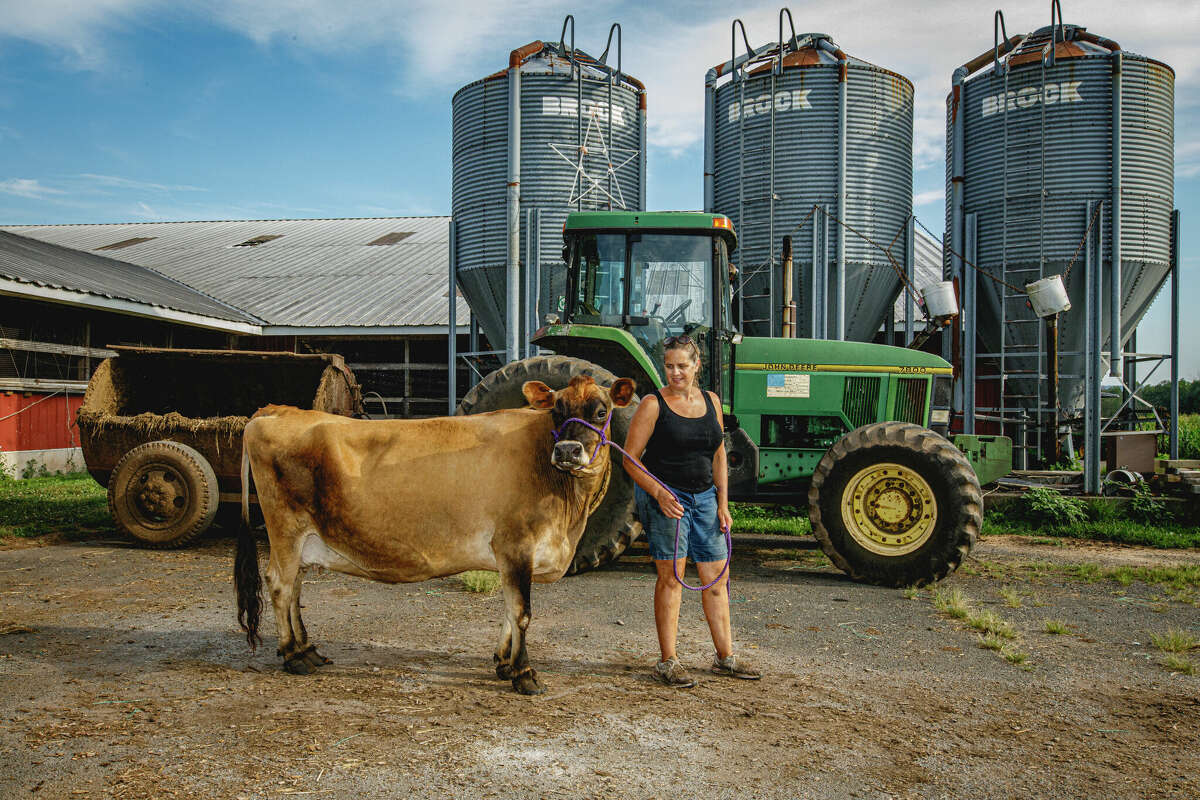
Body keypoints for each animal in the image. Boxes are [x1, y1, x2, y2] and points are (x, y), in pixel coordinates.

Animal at [232, 376, 638, 695]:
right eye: (556, 409)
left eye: (601, 411)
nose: (568, 450)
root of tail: (278, 411)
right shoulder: (516, 545)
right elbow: (521, 612)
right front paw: (524, 674)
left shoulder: (511, 557)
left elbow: (508, 610)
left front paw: (504, 663)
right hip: (285, 528)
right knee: (280, 584)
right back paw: (292, 655)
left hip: (304, 539)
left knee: (295, 589)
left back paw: (307, 649)